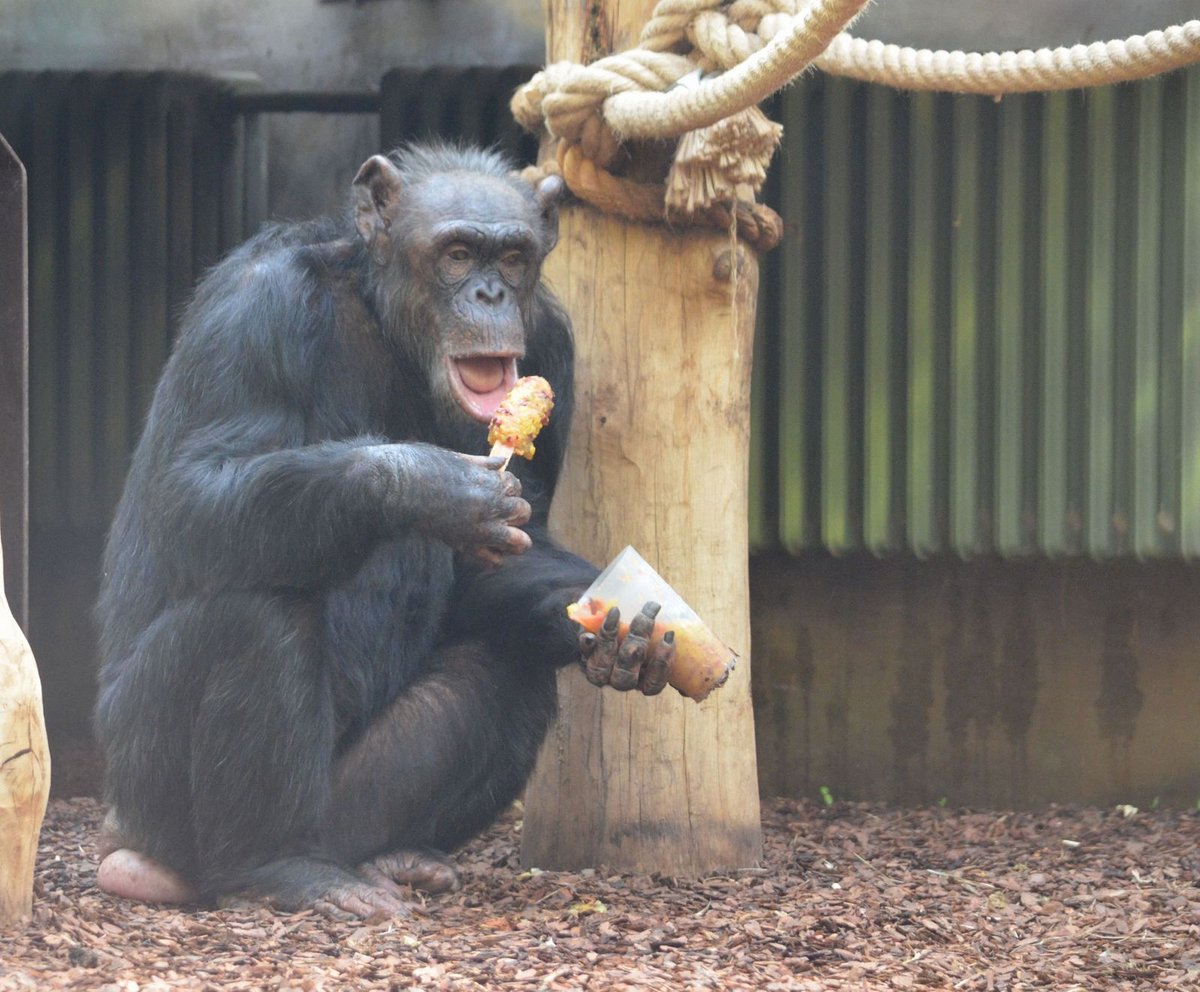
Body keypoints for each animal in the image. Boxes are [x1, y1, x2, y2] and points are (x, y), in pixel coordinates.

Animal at [93, 143, 676, 921]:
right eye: (457, 254)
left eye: (514, 257)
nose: (489, 296)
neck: (388, 322)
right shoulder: (255, 309)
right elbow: (191, 493)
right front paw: (431, 487)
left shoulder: (553, 346)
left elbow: (511, 548)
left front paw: (606, 626)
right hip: (142, 780)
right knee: (257, 618)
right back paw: (275, 867)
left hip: (344, 805)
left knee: (504, 665)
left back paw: (393, 857)